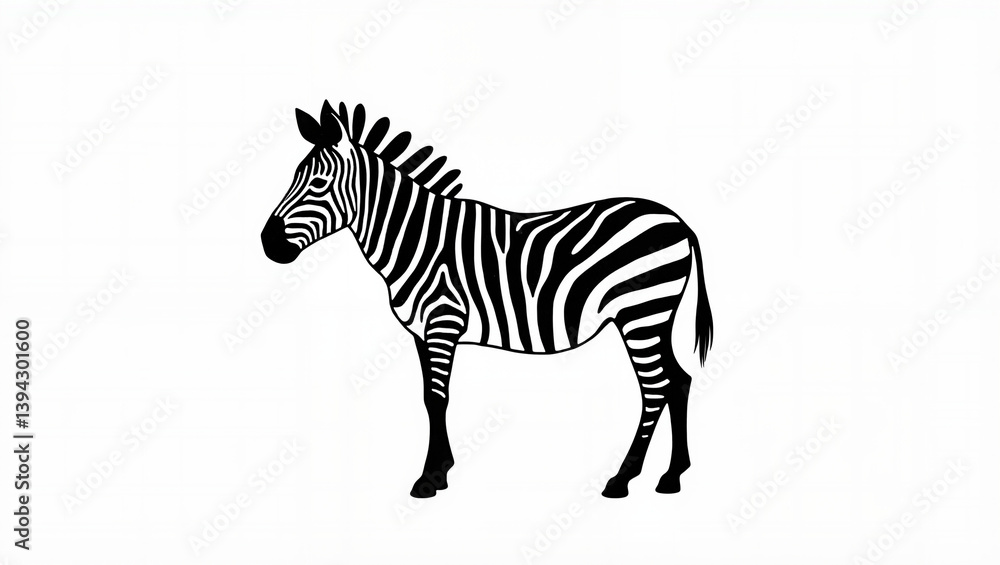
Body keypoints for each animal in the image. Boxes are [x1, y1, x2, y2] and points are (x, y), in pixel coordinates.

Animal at [261, 101, 713, 498]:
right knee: (680, 380)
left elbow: (437, 398)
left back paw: (621, 480)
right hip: (655, 316)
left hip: (640, 312)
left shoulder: (443, 320)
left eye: (318, 184)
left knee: (656, 387)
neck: (416, 239)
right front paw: (442, 470)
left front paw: (429, 479)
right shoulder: (421, 332)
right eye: (293, 175)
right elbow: (428, 398)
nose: (267, 243)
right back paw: (672, 475)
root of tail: (678, 220)